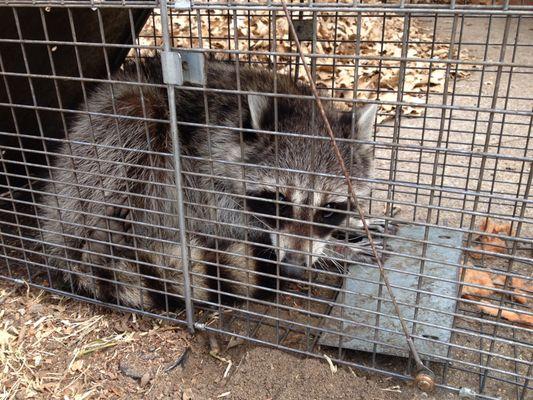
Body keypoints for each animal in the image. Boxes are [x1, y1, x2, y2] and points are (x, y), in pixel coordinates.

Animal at [38, 56, 374, 308]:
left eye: (329, 209)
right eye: (279, 201)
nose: (293, 266)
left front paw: (347, 228)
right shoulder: (202, 161)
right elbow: (221, 218)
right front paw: (336, 250)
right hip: (109, 139)